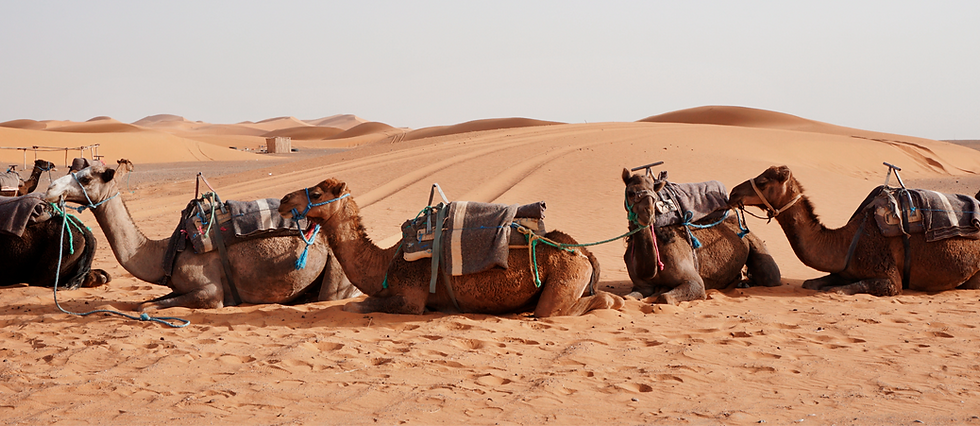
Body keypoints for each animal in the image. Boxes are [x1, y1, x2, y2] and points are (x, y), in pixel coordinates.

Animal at [43, 161, 358, 311]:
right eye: (76, 169)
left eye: (86, 178)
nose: (50, 190)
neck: (165, 251)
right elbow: (147, 301)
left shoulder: (210, 292)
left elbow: (146, 304)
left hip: (336, 270)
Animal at [277, 178, 625, 316]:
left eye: (317, 193)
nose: (283, 200)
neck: (386, 262)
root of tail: (583, 252)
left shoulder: (411, 299)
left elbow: (358, 306)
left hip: (565, 277)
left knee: (589, 303)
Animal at [622, 168, 781, 304]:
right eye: (631, 192)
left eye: (654, 197)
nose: (647, 214)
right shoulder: (642, 286)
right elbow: (626, 297)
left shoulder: (695, 283)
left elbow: (665, 297)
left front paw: (662, 292)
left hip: (755, 243)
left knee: (771, 276)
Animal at [729, 165, 980, 296]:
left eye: (763, 182)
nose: (732, 193)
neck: (847, 240)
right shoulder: (844, 268)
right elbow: (811, 283)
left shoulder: (890, 278)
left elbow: (837, 290)